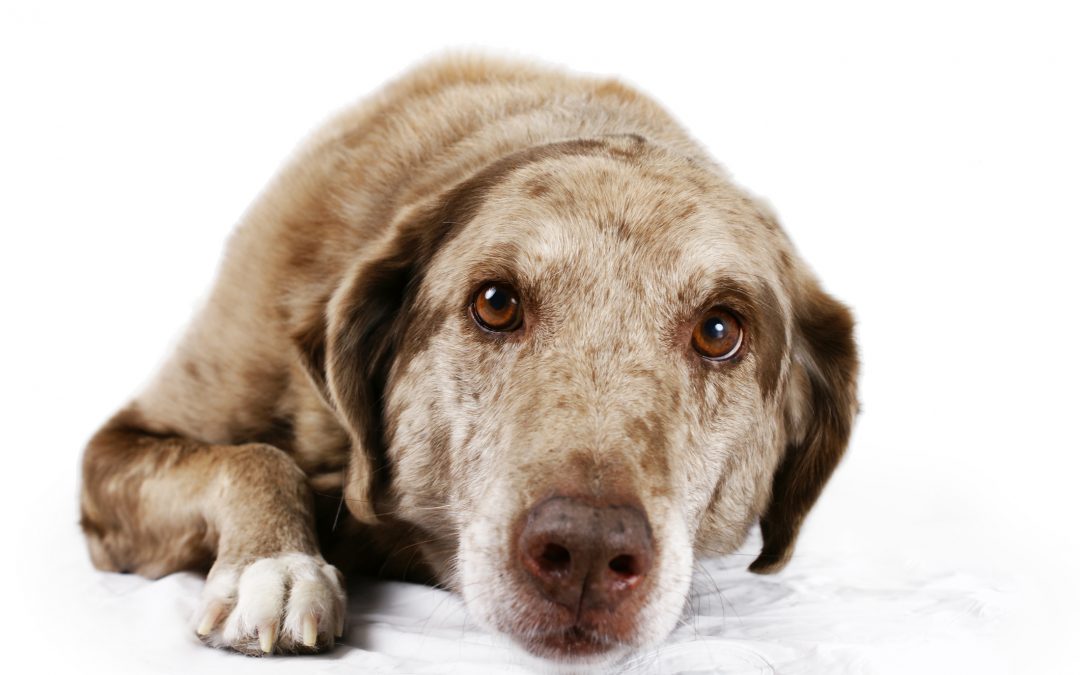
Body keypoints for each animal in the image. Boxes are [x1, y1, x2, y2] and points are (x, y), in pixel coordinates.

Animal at [78, 54, 859, 665]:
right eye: (495, 302)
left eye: (721, 330)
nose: (586, 551)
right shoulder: (114, 451)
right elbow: (253, 459)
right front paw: (275, 566)